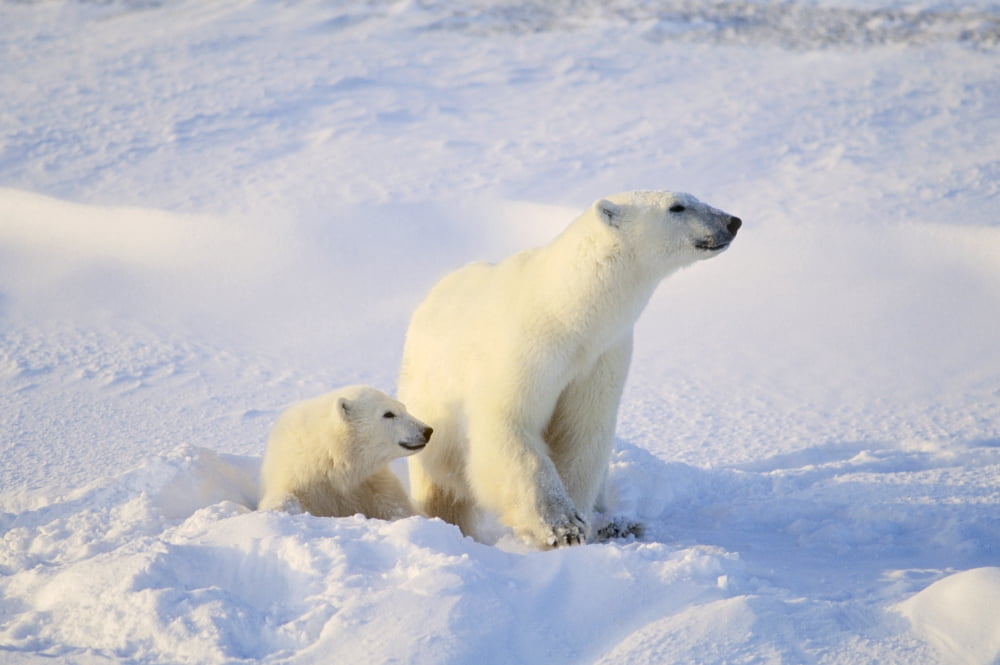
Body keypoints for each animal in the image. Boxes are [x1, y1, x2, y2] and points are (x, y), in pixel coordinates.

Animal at [257, 385, 433, 520]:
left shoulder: (371, 483)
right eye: (388, 414)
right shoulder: (301, 478)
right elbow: (285, 498)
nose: (427, 431)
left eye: (403, 407)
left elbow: (399, 506)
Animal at [397, 191, 741, 549]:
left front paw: (582, 520)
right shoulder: (524, 349)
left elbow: (581, 433)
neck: (565, 313)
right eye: (677, 207)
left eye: (693, 197)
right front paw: (561, 526)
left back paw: (618, 523)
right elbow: (510, 427)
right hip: (429, 393)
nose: (733, 221)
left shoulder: (602, 356)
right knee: (441, 481)